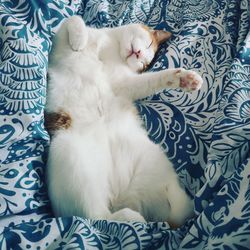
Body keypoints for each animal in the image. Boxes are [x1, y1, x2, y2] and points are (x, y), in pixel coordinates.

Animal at [45, 15, 203, 227]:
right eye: (148, 44)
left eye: (144, 63)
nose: (138, 53)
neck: (110, 48)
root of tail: (119, 196)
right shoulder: (59, 43)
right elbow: (74, 20)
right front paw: (79, 40)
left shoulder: (124, 85)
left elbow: (155, 79)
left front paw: (185, 79)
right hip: (72, 158)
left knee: (98, 217)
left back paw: (134, 218)